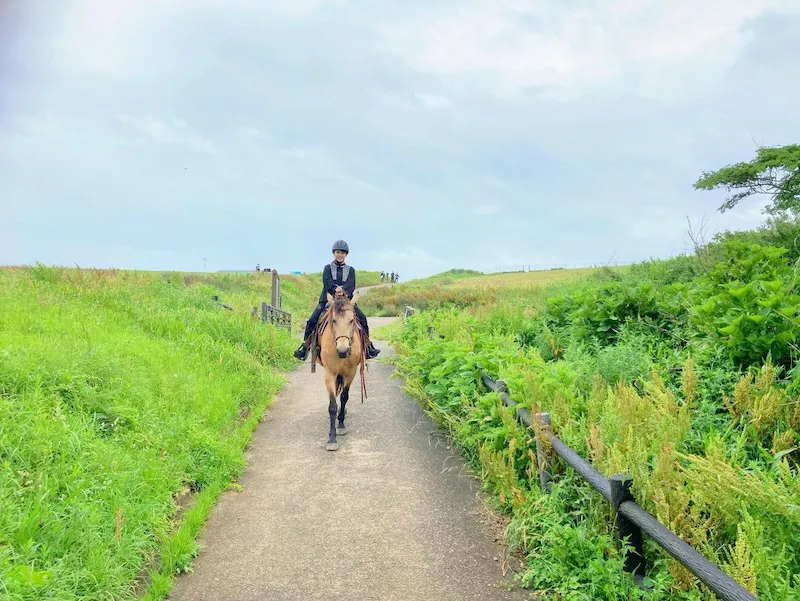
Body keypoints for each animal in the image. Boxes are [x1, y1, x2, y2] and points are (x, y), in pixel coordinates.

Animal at [314, 290, 368, 450]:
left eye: (351, 320)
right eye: (334, 321)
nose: (343, 351)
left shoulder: (351, 373)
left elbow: (344, 397)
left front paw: (341, 424)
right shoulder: (329, 373)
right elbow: (332, 405)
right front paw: (332, 438)